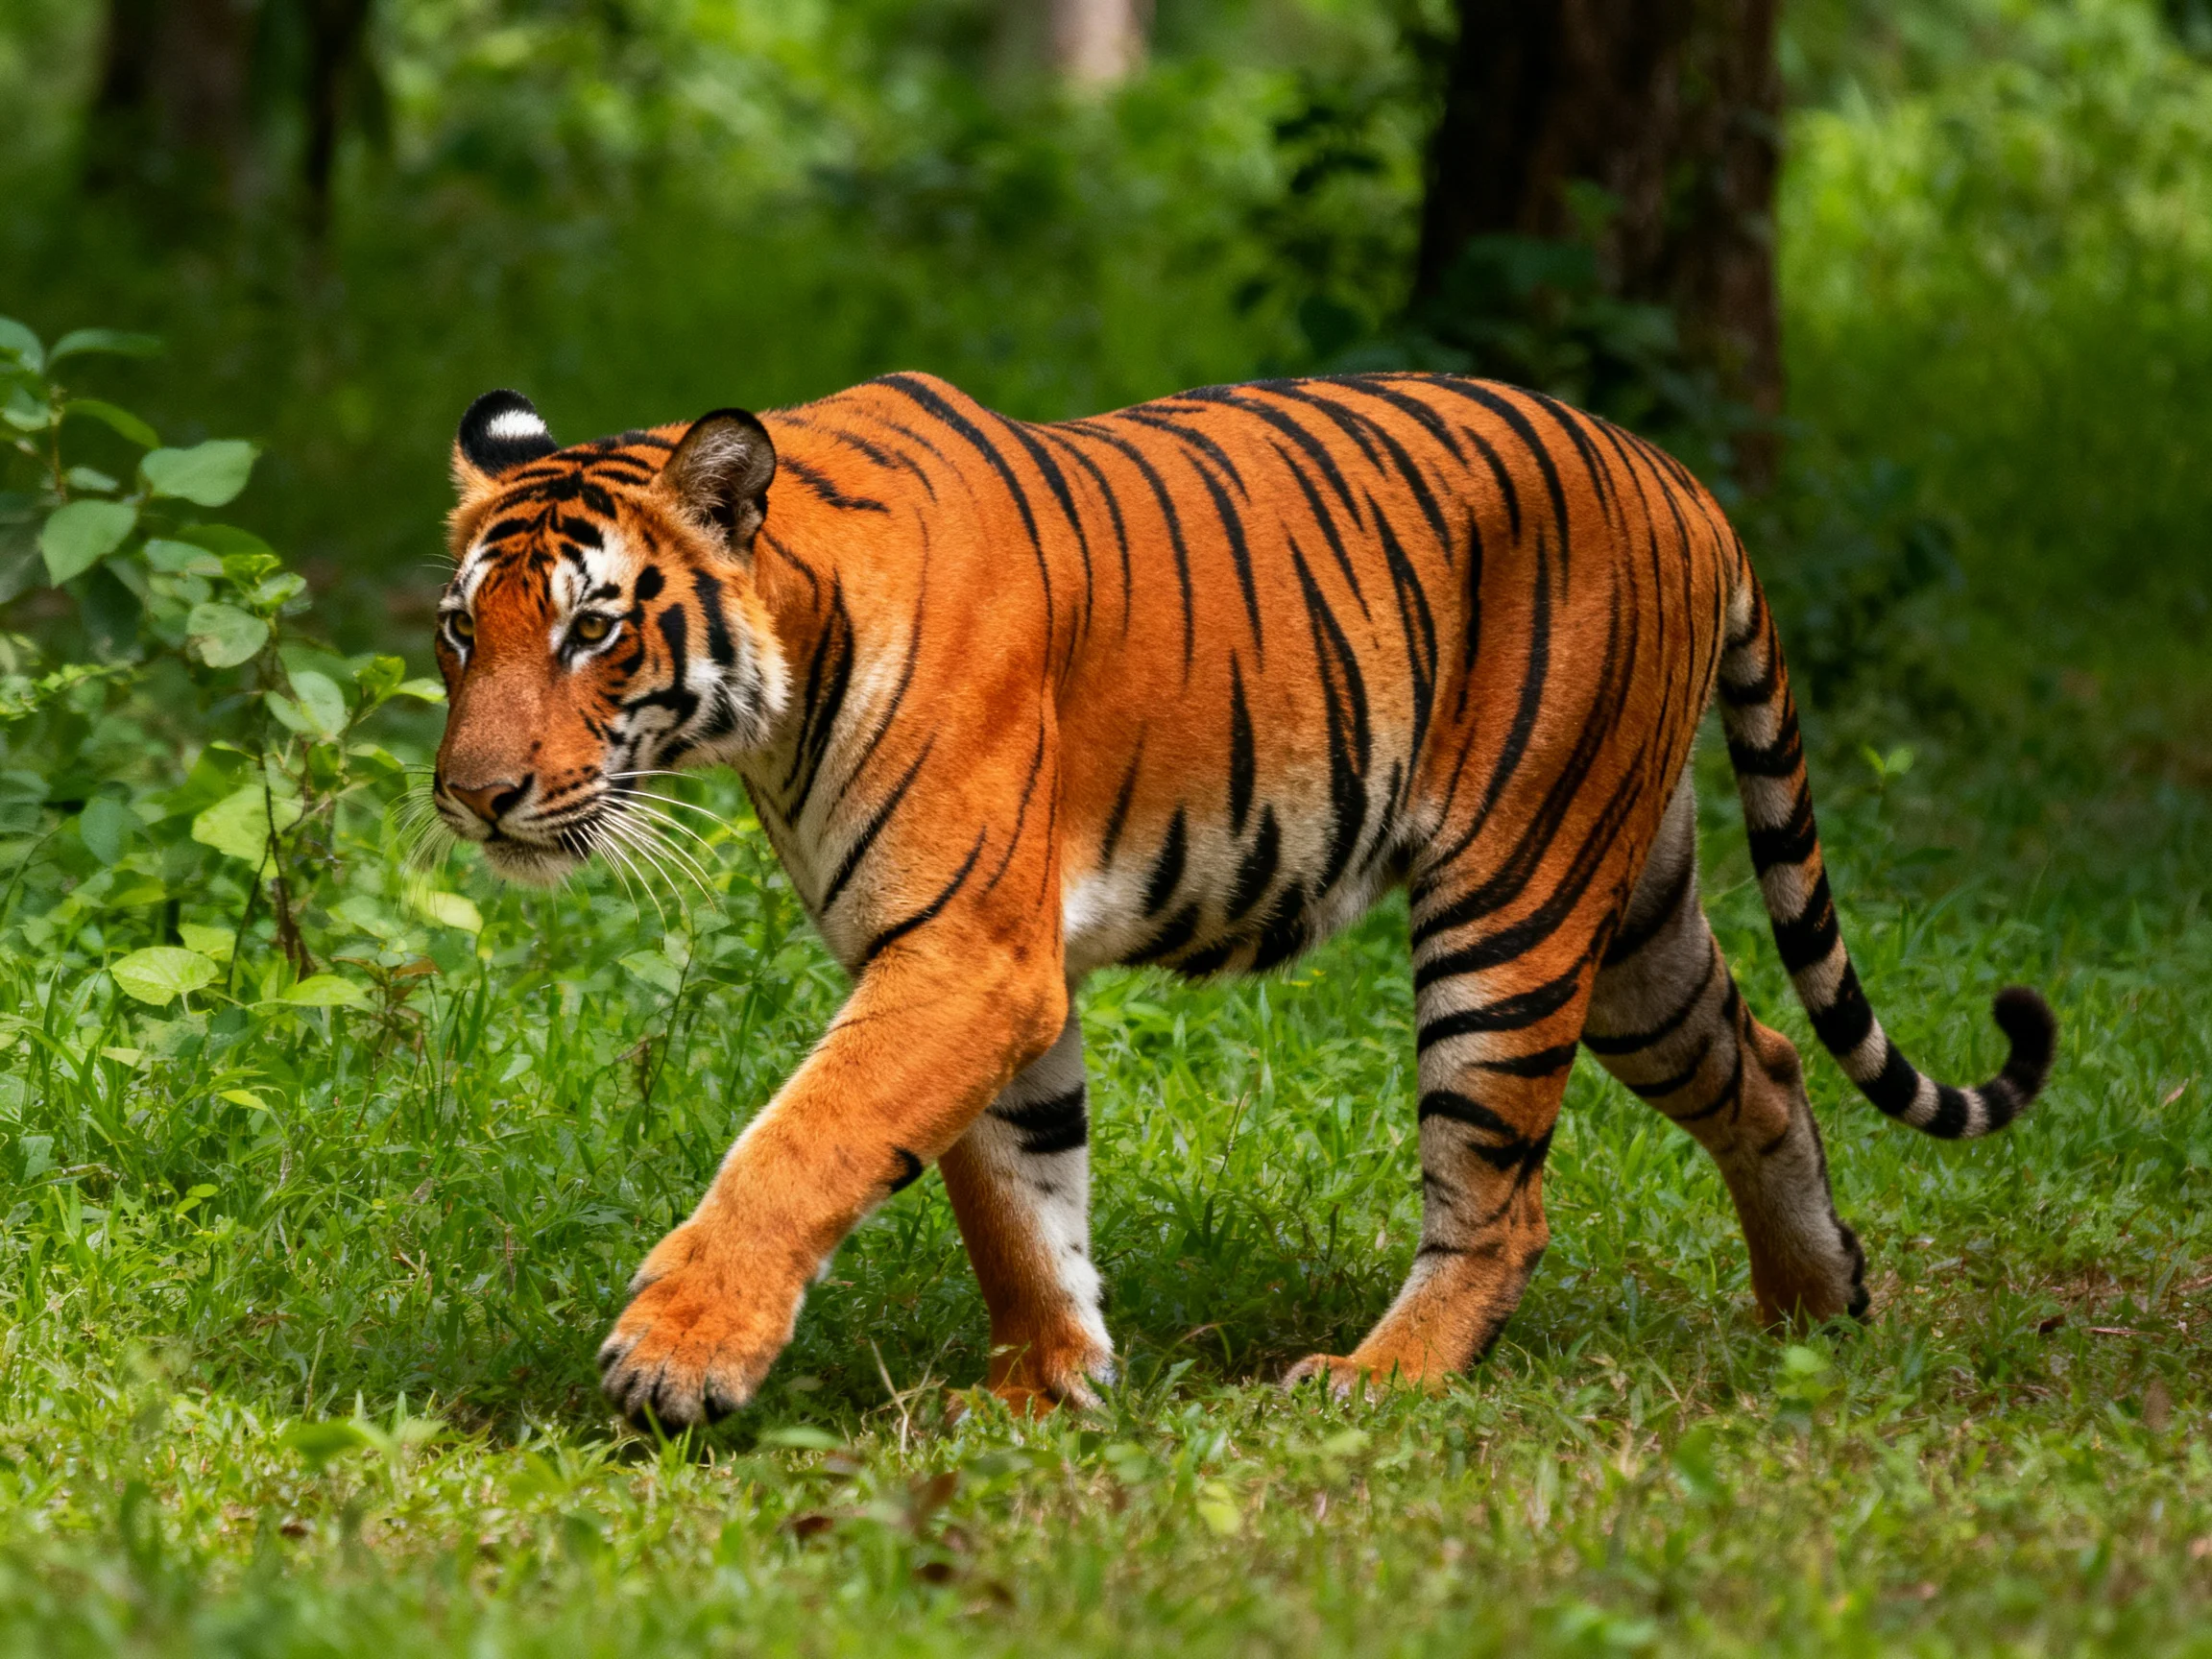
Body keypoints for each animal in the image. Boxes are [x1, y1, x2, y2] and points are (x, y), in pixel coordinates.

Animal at [430, 371, 2055, 1426]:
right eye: (461, 630)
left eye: (590, 631)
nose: (472, 794)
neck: (780, 679)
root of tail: (1688, 482)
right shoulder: (999, 964)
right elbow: (1014, 1189)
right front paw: (1048, 1385)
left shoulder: (964, 954)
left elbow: (806, 1140)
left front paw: (678, 1356)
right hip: (1636, 919)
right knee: (1766, 1063)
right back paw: (1815, 1317)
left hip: (1513, 908)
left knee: (1502, 1197)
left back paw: (1379, 1381)